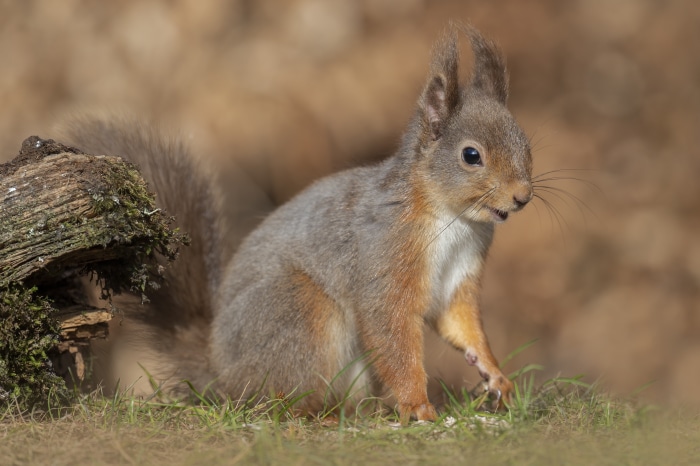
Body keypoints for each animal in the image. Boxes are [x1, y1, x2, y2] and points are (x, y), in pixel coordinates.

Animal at [60, 26, 532, 424]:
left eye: (525, 142)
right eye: (471, 155)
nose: (523, 197)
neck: (454, 220)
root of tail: (222, 371)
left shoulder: (460, 275)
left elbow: (462, 325)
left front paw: (496, 376)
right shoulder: (385, 255)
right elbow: (391, 330)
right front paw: (417, 405)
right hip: (299, 310)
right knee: (281, 403)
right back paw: (318, 414)